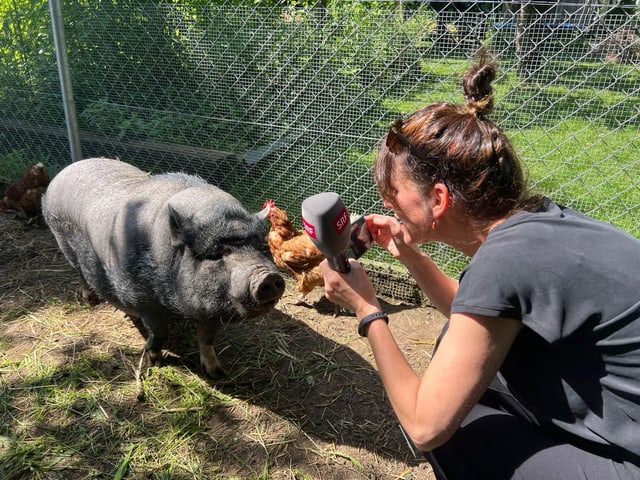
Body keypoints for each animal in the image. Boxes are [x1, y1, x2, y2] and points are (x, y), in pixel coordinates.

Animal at [42, 158, 284, 378]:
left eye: (259, 247)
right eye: (214, 255)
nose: (268, 277)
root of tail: (64, 172)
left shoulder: (213, 308)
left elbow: (206, 338)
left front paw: (217, 373)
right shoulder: (147, 304)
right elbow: (158, 335)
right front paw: (154, 363)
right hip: (63, 243)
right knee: (81, 274)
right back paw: (91, 302)